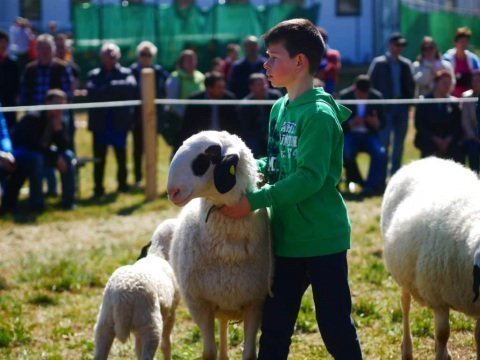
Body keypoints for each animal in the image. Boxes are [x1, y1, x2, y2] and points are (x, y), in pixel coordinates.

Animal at [93, 218, 180, 358]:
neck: (158, 253)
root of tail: (121, 295)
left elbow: (138, 349)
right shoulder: (171, 313)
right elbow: (166, 342)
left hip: (104, 324)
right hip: (150, 325)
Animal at [167, 131, 272, 360]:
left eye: (208, 156)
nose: (172, 191)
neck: (228, 249)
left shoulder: (256, 302)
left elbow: (249, 354)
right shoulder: (199, 304)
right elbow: (209, 352)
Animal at [382, 158, 480, 360]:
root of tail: (424, 160)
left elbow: (477, 336)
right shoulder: (439, 299)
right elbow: (443, 333)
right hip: (405, 274)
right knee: (405, 304)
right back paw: (407, 349)